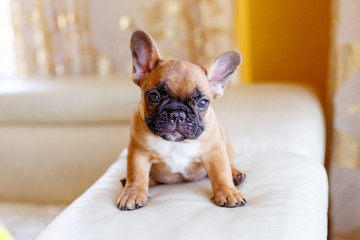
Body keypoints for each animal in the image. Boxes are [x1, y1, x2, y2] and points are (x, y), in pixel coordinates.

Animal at [116, 29, 246, 210]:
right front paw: (133, 193)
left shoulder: (215, 152)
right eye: (154, 97)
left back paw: (235, 174)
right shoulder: (138, 152)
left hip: (226, 141)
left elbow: (221, 173)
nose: (177, 114)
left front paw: (228, 192)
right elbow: (136, 174)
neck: (176, 143)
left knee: (230, 163)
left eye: (202, 103)